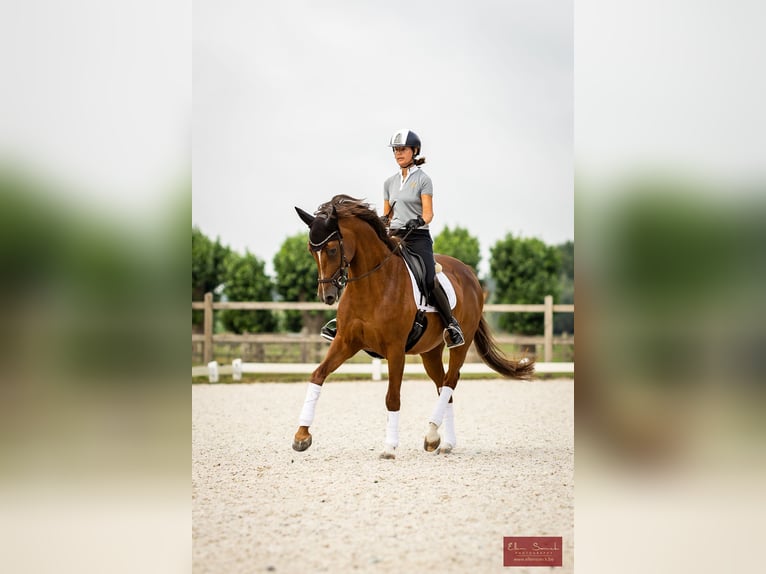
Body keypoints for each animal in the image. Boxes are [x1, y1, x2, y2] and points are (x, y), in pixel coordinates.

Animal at [293, 194, 534, 458]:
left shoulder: (395, 349)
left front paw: (389, 447)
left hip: (460, 344)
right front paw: (302, 436)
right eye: (311, 251)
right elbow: (318, 375)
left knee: (450, 381)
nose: (326, 296)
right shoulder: (346, 342)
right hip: (430, 352)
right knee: (444, 386)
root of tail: (469, 274)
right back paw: (445, 442)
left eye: (333, 249)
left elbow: (393, 397)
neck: (372, 286)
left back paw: (431, 435)